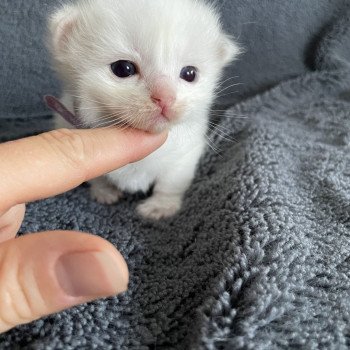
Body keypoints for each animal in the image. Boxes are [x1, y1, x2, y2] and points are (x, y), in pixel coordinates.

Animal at [48, 0, 241, 219]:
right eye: (123, 68)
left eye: (190, 74)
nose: (165, 98)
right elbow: (97, 176)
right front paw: (104, 191)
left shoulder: (186, 152)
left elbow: (171, 181)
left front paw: (161, 206)